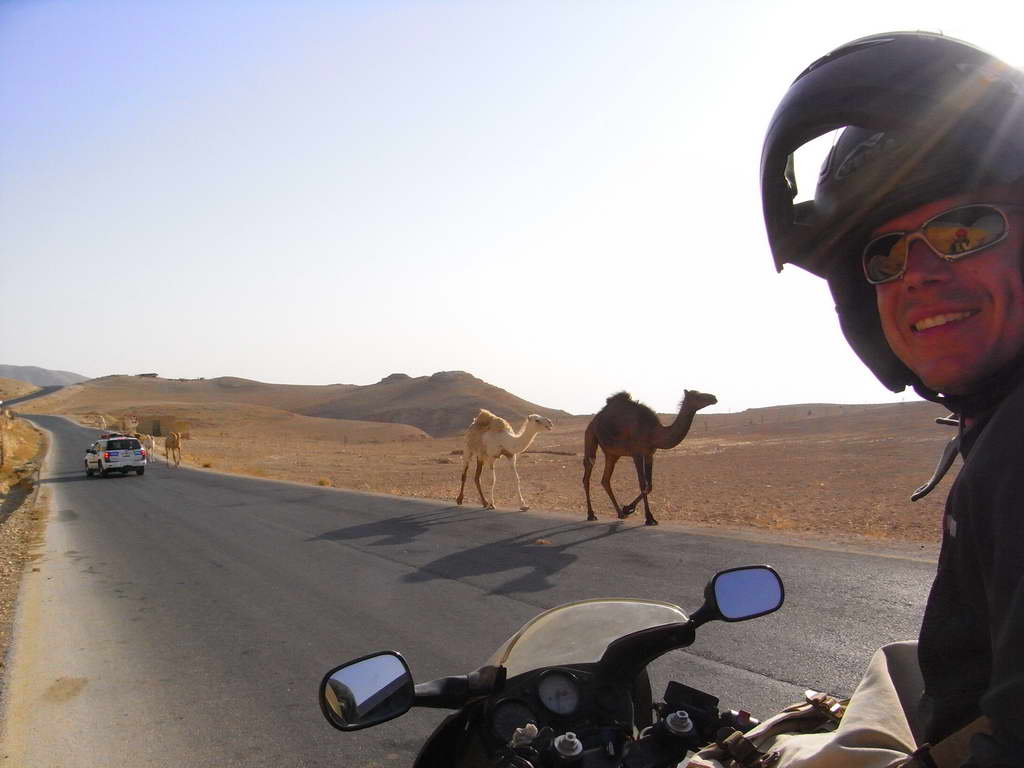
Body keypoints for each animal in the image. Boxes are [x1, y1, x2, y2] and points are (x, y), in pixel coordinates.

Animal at [581, 391, 716, 528]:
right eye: (697, 395)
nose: (713, 398)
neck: (653, 433)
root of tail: (594, 420)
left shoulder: (649, 455)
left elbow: (649, 485)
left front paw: (627, 508)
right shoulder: (637, 454)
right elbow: (642, 484)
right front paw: (649, 518)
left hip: (612, 454)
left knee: (605, 479)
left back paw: (620, 513)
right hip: (590, 435)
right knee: (588, 470)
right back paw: (591, 514)